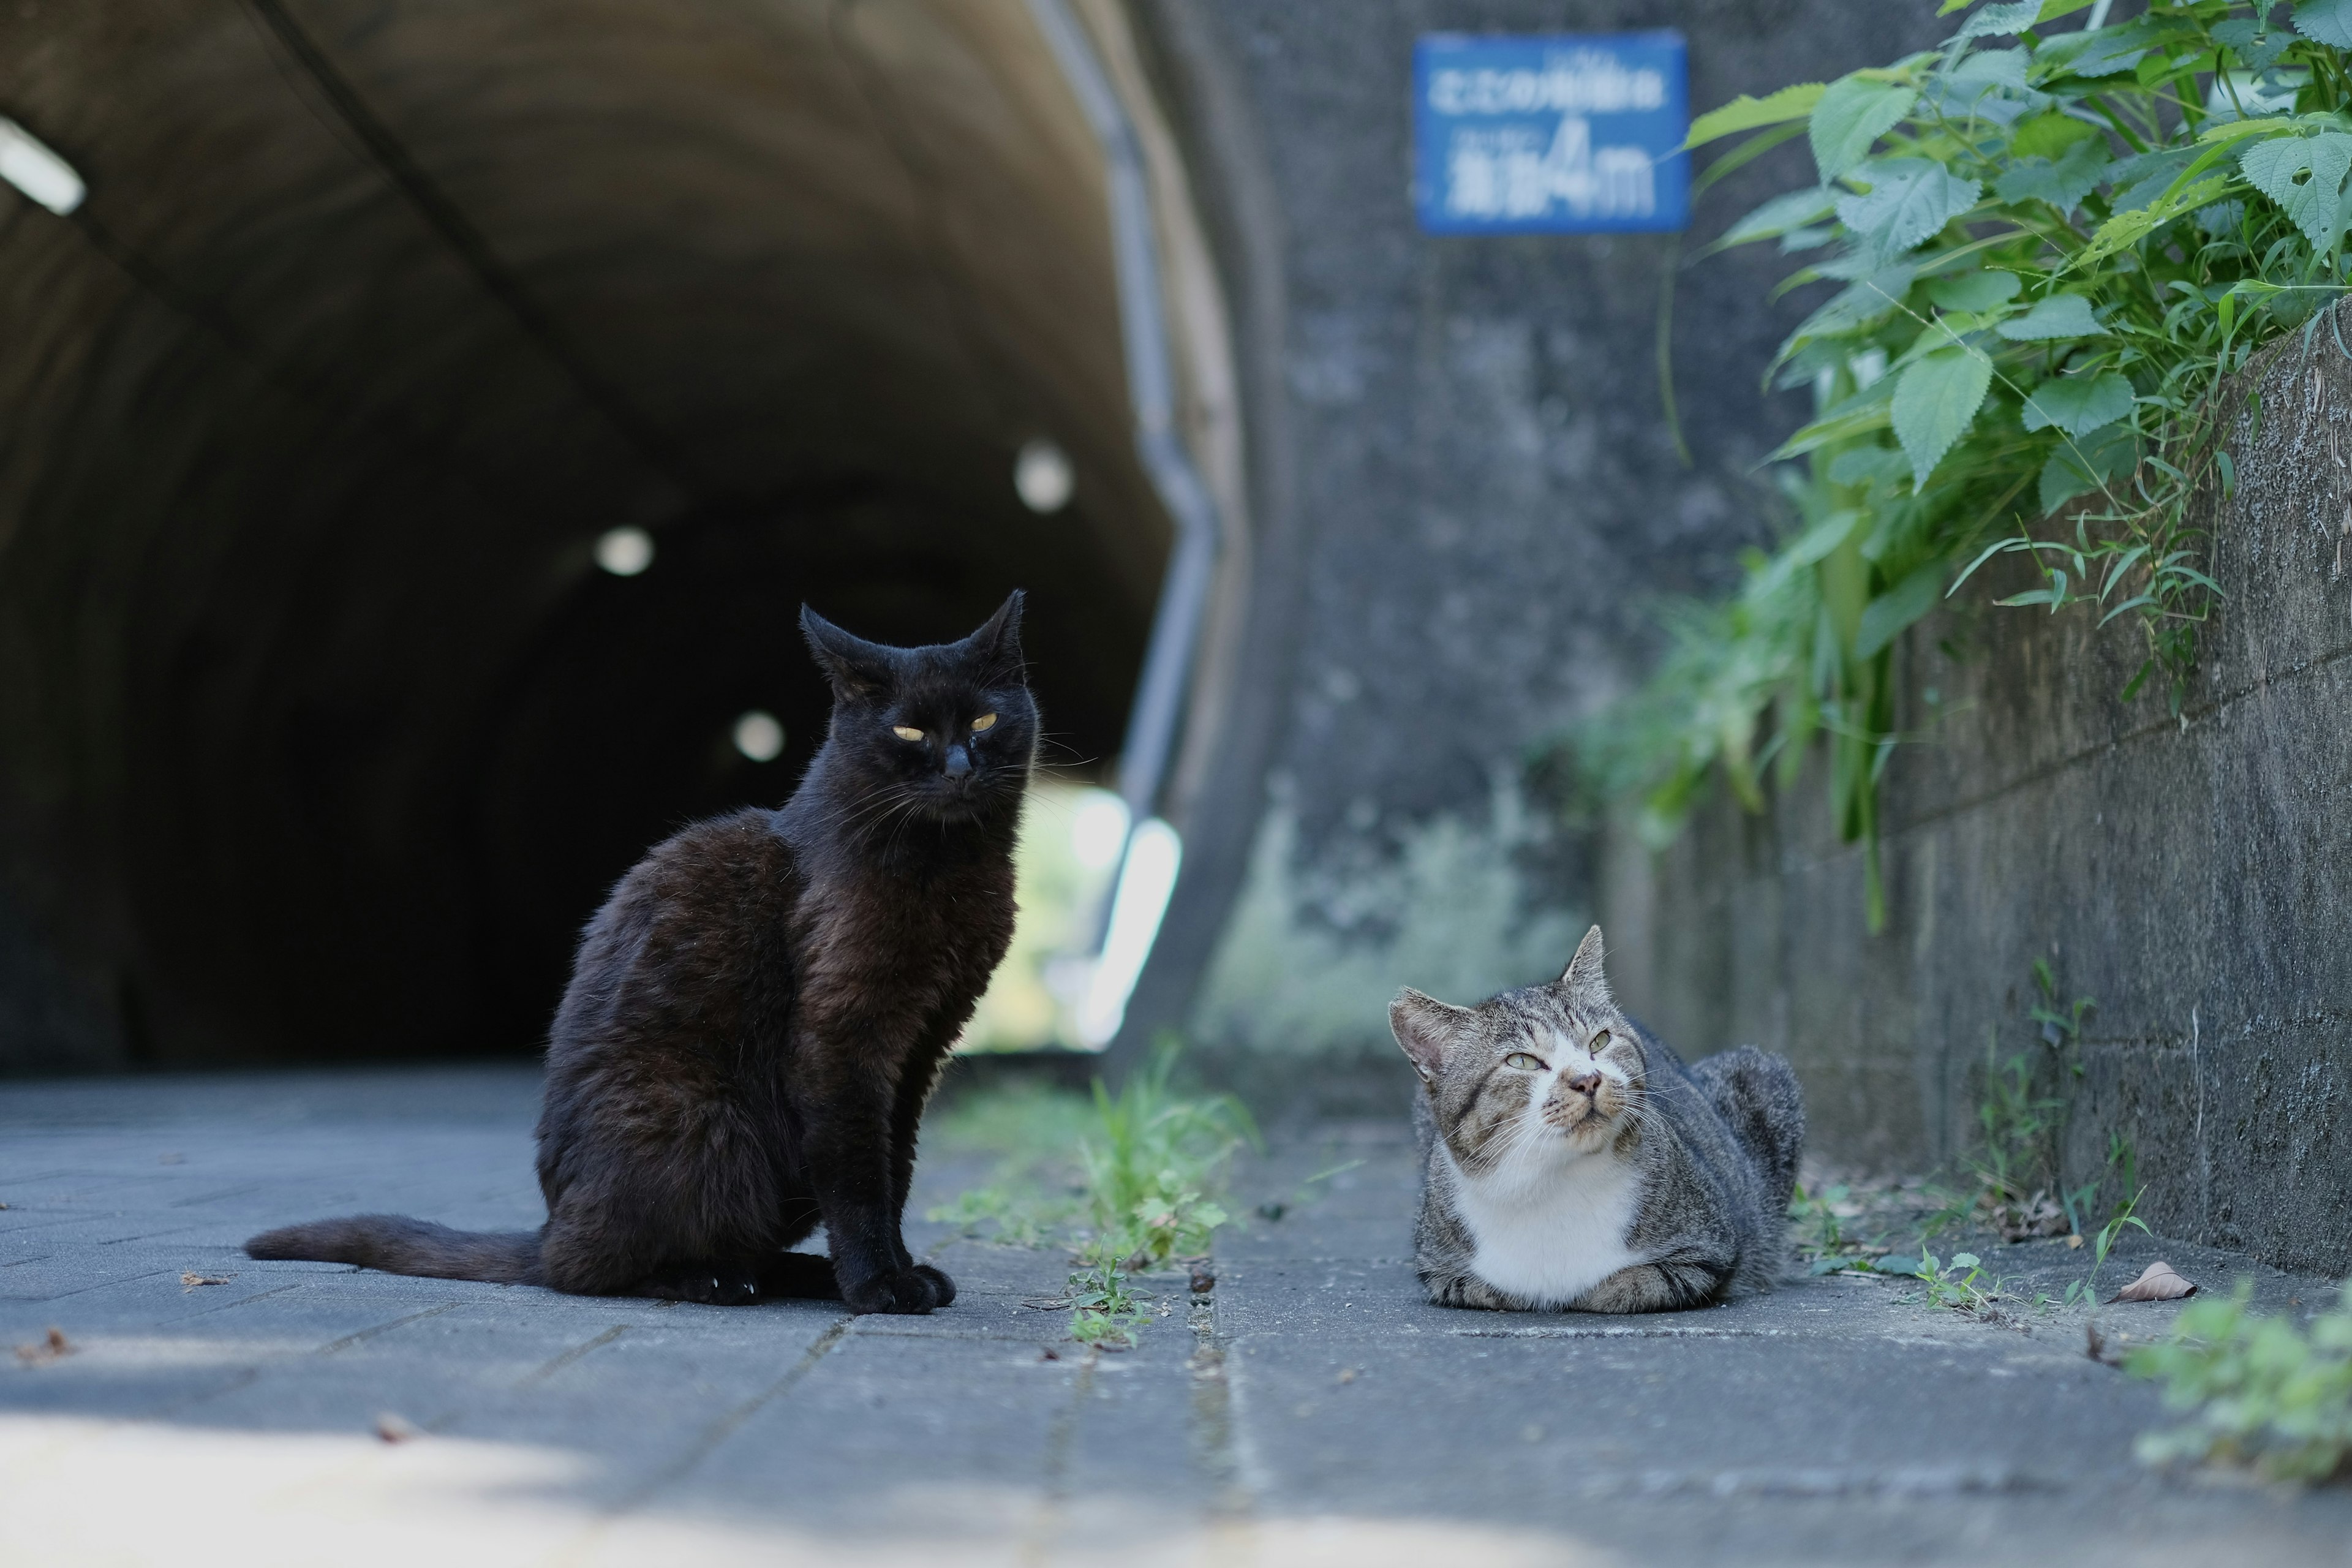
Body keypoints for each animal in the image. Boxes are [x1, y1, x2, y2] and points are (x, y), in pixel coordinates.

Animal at [246, 595, 1039, 1316]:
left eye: (984, 721)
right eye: (909, 728)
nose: (960, 765)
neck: (952, 866)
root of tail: (548, 1226)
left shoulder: (920, 1046)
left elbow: (895, 1167)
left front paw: (901, 1269)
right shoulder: (842, 1039)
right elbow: (861, 1177)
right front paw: (879, 1284)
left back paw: (796, 1274)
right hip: (707, 1126)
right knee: (593, 1269)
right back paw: (714, 1280)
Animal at [1382, 930, 1806, 1316]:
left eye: (1600, 1041)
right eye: (1522, 1061)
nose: (1587, 1079)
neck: (1552, 1181)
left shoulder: (1707, 1250)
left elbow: (1625, 1286)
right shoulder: (1440, 1269)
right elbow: (1489, 1289)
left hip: (1760, 1074)